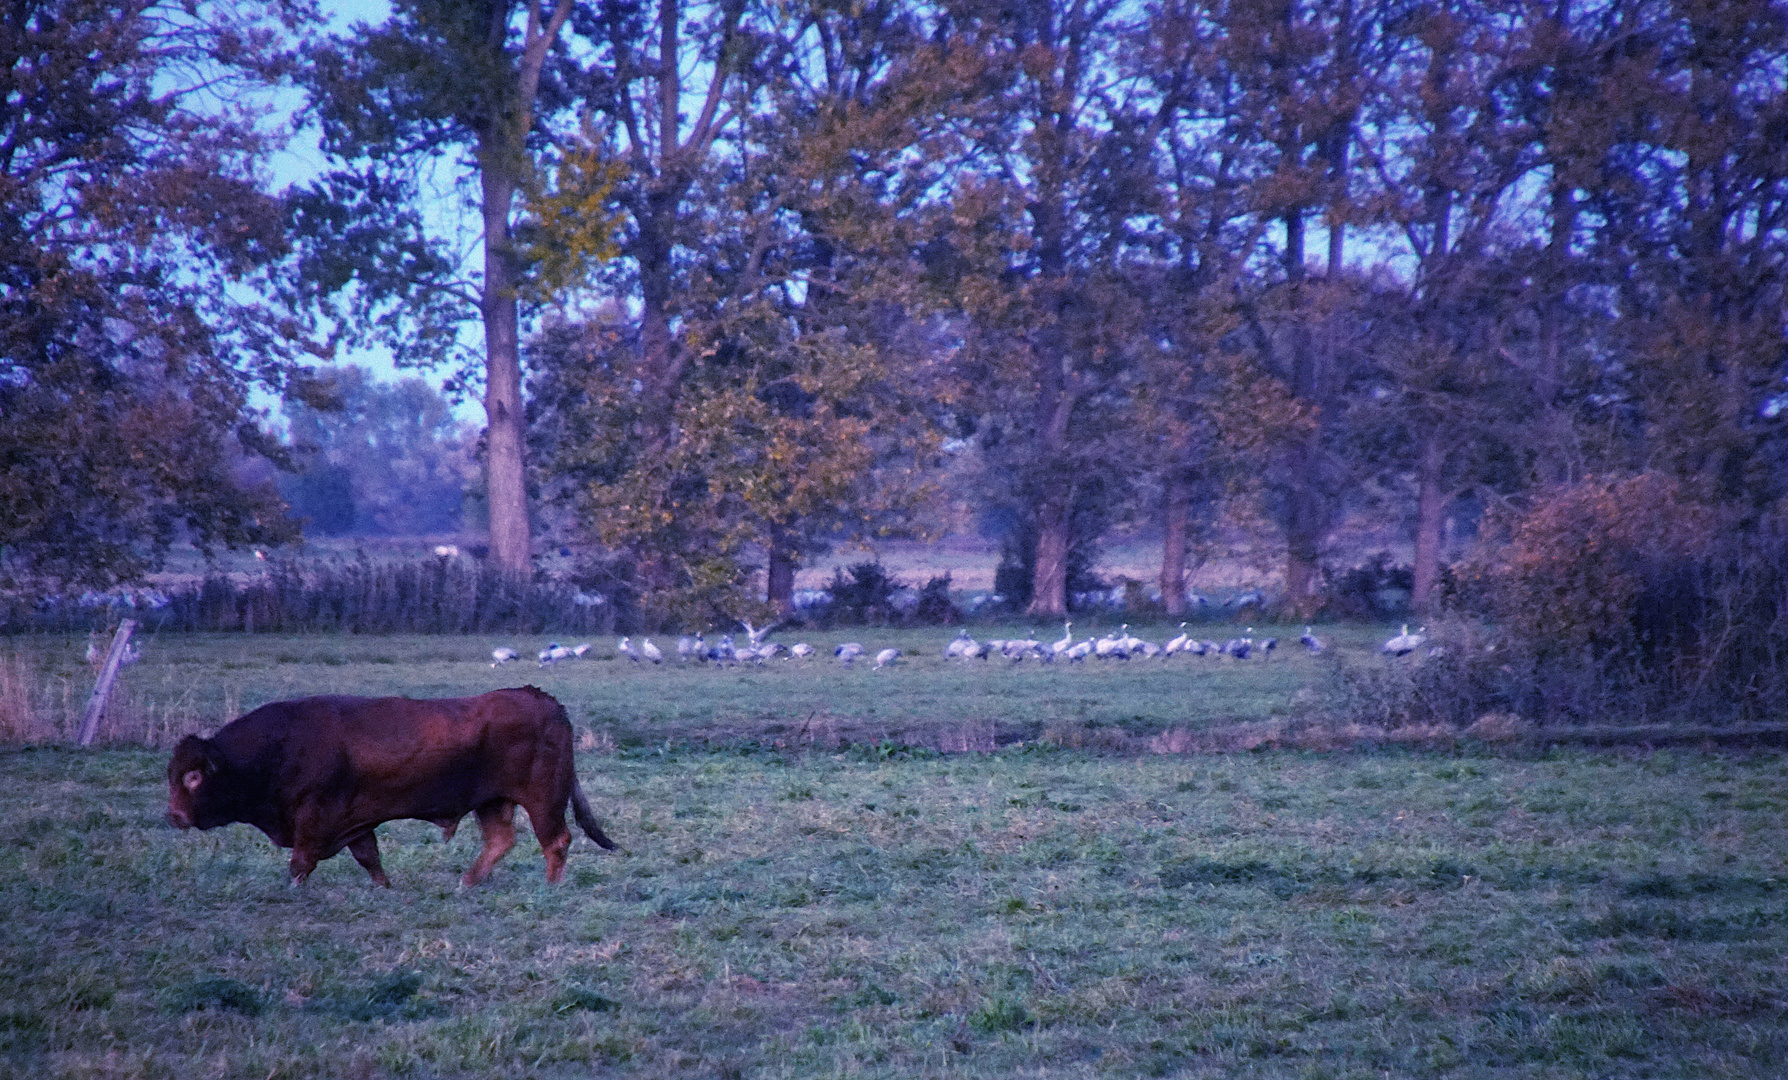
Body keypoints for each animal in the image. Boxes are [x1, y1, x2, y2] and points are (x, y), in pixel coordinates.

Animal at [168, 686, 615, 883]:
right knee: (500, 841)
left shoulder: (314, 818)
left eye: (194, 777)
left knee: (555, 841)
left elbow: (301, 863)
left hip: (544, 798)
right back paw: (467, 883)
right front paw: (385, 888)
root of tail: (543, 698)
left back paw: (550, 887)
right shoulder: (355, 823)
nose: (174, 816)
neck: (281, 745)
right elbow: (370, 859)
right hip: (493, 801)